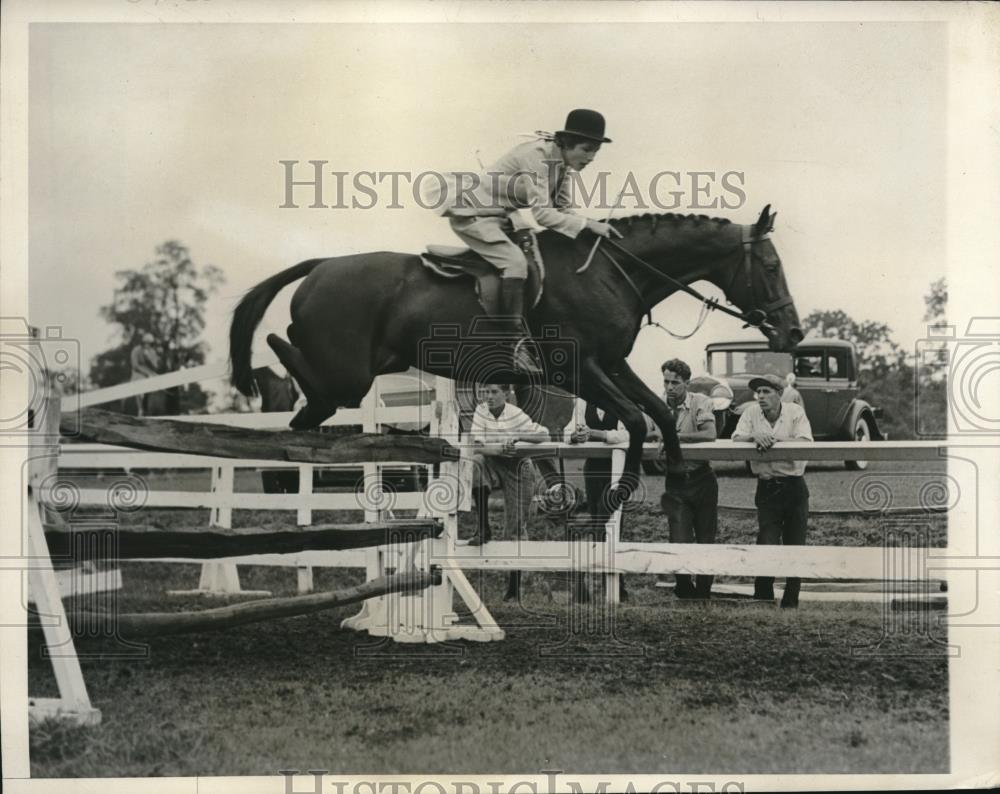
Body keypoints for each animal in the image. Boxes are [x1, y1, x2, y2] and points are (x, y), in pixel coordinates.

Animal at [230, 206, 800, 502]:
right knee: (291, 356)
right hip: (347, 374)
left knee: (307, 399)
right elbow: (636, 419)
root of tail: (320, 266)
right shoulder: (578, 370)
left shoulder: (611, 364)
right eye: (771, 267)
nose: (792, 333)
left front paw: (677, 466)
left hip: (361, 372)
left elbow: (658, 409)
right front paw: (621, 490)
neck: (609, 273)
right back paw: (263, 376)